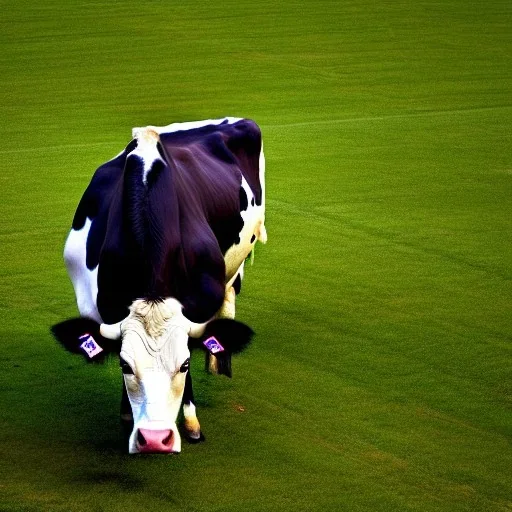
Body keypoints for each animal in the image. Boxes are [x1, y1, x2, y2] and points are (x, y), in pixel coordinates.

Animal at [51, 118, 268, 454]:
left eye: (185, 365)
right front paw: (127, 413)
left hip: (237, 263)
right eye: (125, 366)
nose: (154, 439)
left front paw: (191, 423)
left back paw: (220, 363)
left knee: (228, 305)